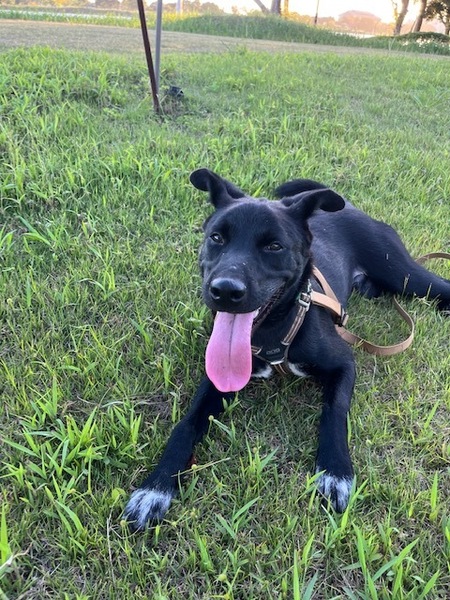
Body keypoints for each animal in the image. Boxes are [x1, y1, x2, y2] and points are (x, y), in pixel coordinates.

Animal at [124, 168, 450, 531]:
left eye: (274, 246)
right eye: (217, 238)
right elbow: (187, 424)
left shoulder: (344, 363)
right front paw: (155, 488)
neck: (272, 331)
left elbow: (334, 412)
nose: (224, 291)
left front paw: (335, 471)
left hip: (402, 272)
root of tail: (352, 207)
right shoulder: (215, 378)